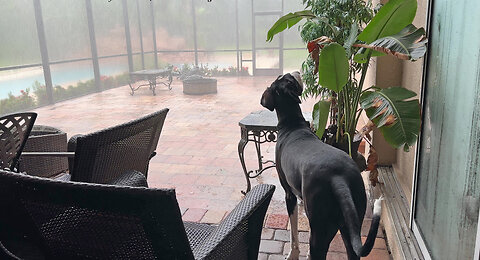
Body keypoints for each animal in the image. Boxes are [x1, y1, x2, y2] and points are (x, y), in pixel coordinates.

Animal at [260, 72, 380, 258]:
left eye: (287, 78)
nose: (296, 72)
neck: (292, 124)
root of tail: (339, 179)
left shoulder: (289, 195)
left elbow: (293, 234)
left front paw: (293, 254)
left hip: (322, 230)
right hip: (350, 225)